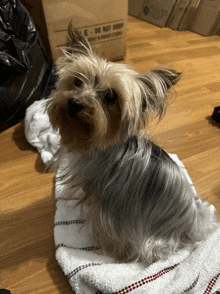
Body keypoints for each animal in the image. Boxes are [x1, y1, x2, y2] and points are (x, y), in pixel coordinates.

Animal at [46, 27, 217, 266]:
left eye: (111, 96)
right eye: (77, 82)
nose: (74, 103)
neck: (103, 146)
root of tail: (196, 222)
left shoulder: (109, 207)